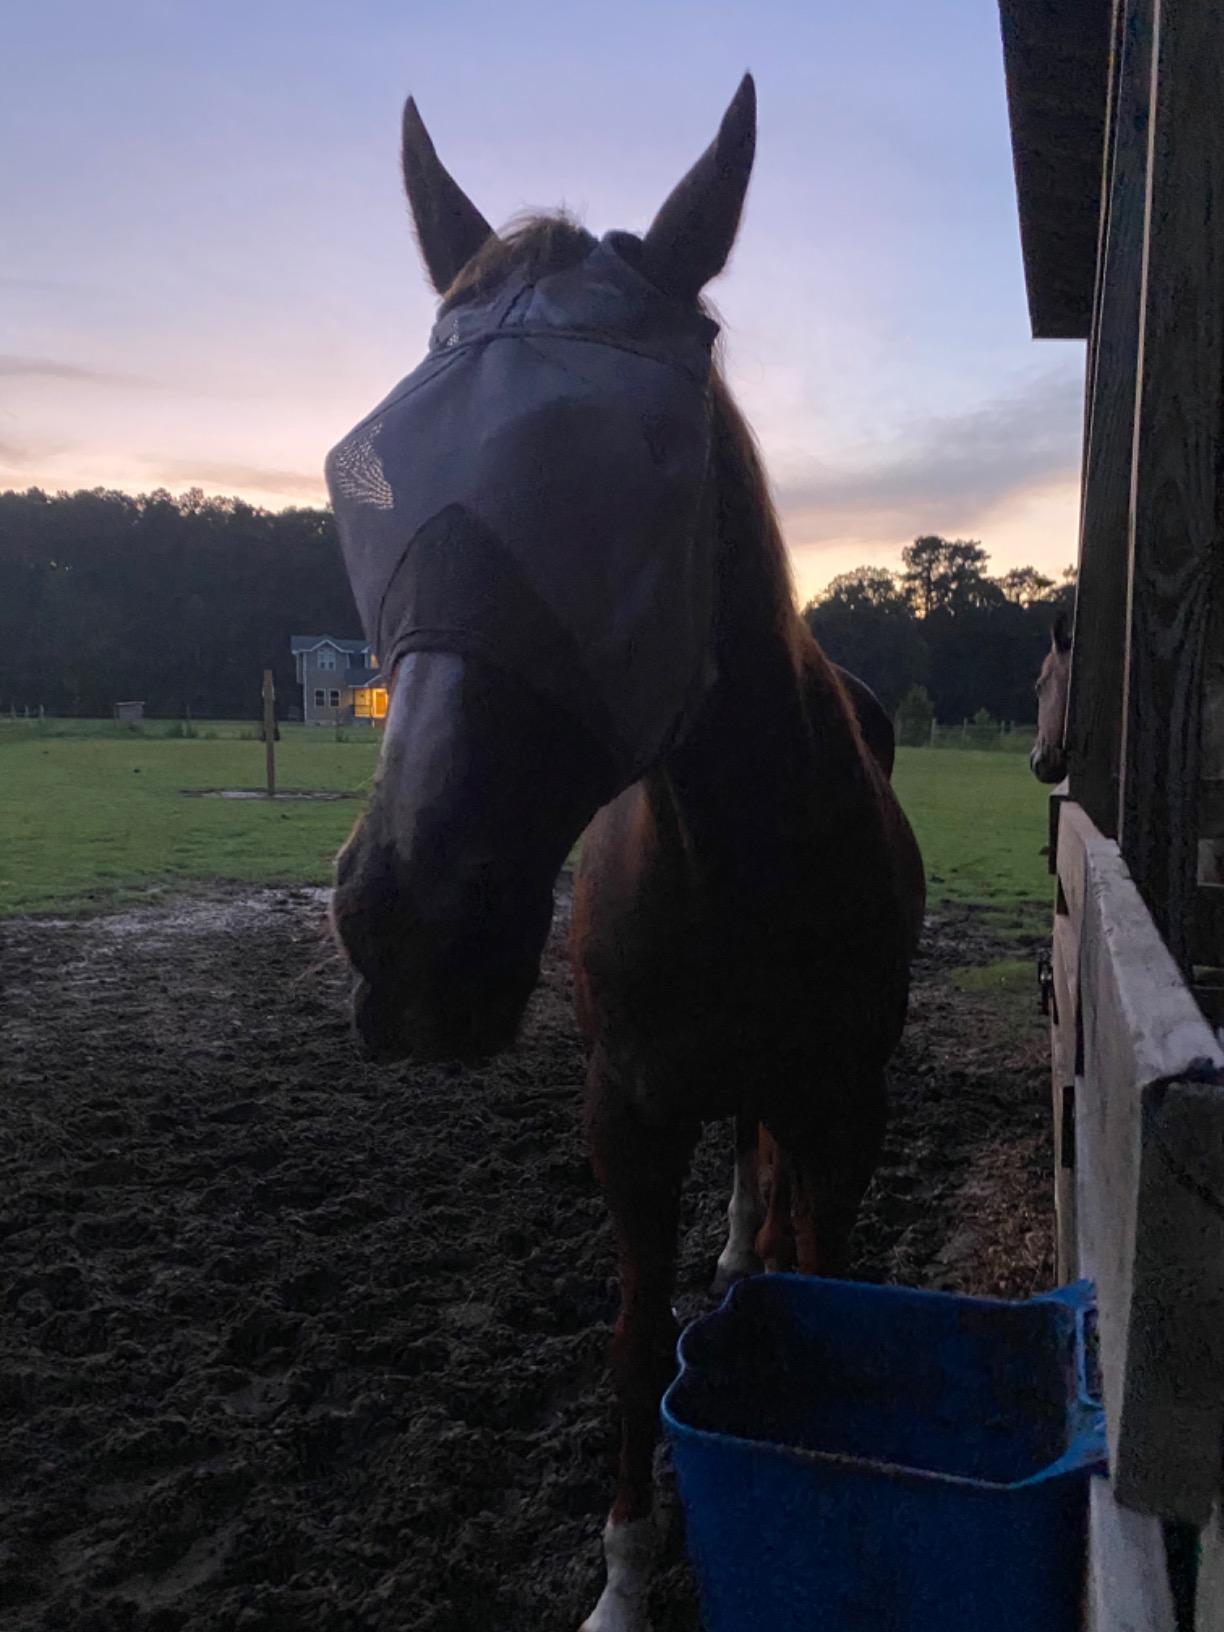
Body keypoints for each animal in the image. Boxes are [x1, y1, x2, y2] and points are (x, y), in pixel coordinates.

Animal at [327, 77, 926, 1632]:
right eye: (380, 476)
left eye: (639, 484)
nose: (415, 924)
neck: (734, 855)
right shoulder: (629, 1114)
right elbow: (629, 1345)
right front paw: (622, 1580)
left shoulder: (844, 1111)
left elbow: (828, 1286)